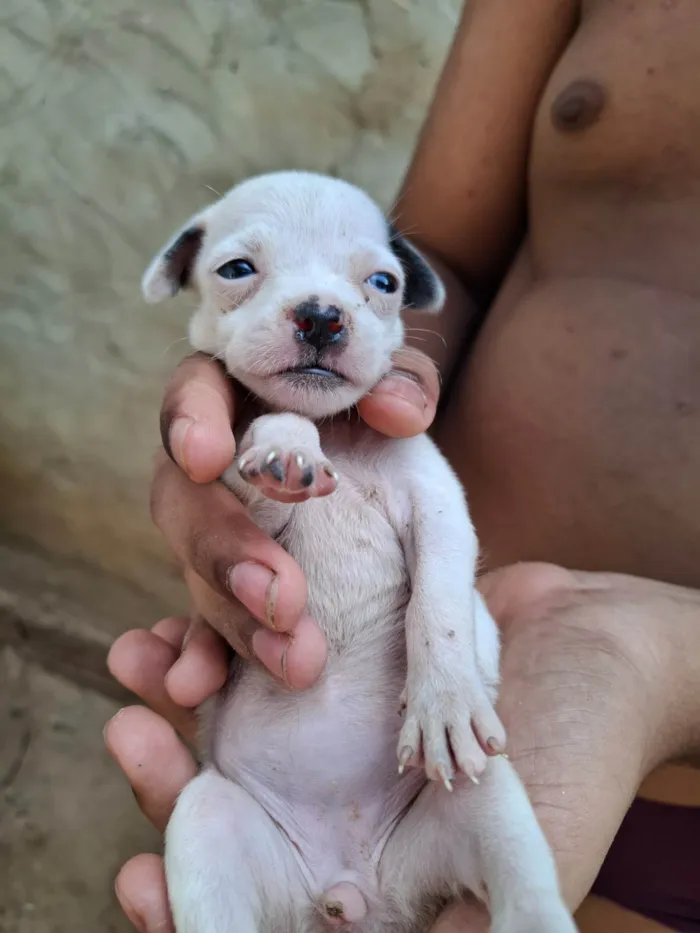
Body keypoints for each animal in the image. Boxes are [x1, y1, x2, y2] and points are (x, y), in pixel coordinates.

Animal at [141, 169, 576, 932]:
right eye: (236, 269)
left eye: (382, 282)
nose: (320, 314)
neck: (339, 435)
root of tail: (352, 889)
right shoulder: (238, 499)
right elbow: (269, 440)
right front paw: (287, 446)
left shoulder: (440, 509)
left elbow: (439, 605)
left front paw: (444, 699)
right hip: (210, 819)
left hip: (481, 803)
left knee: (525, 885)